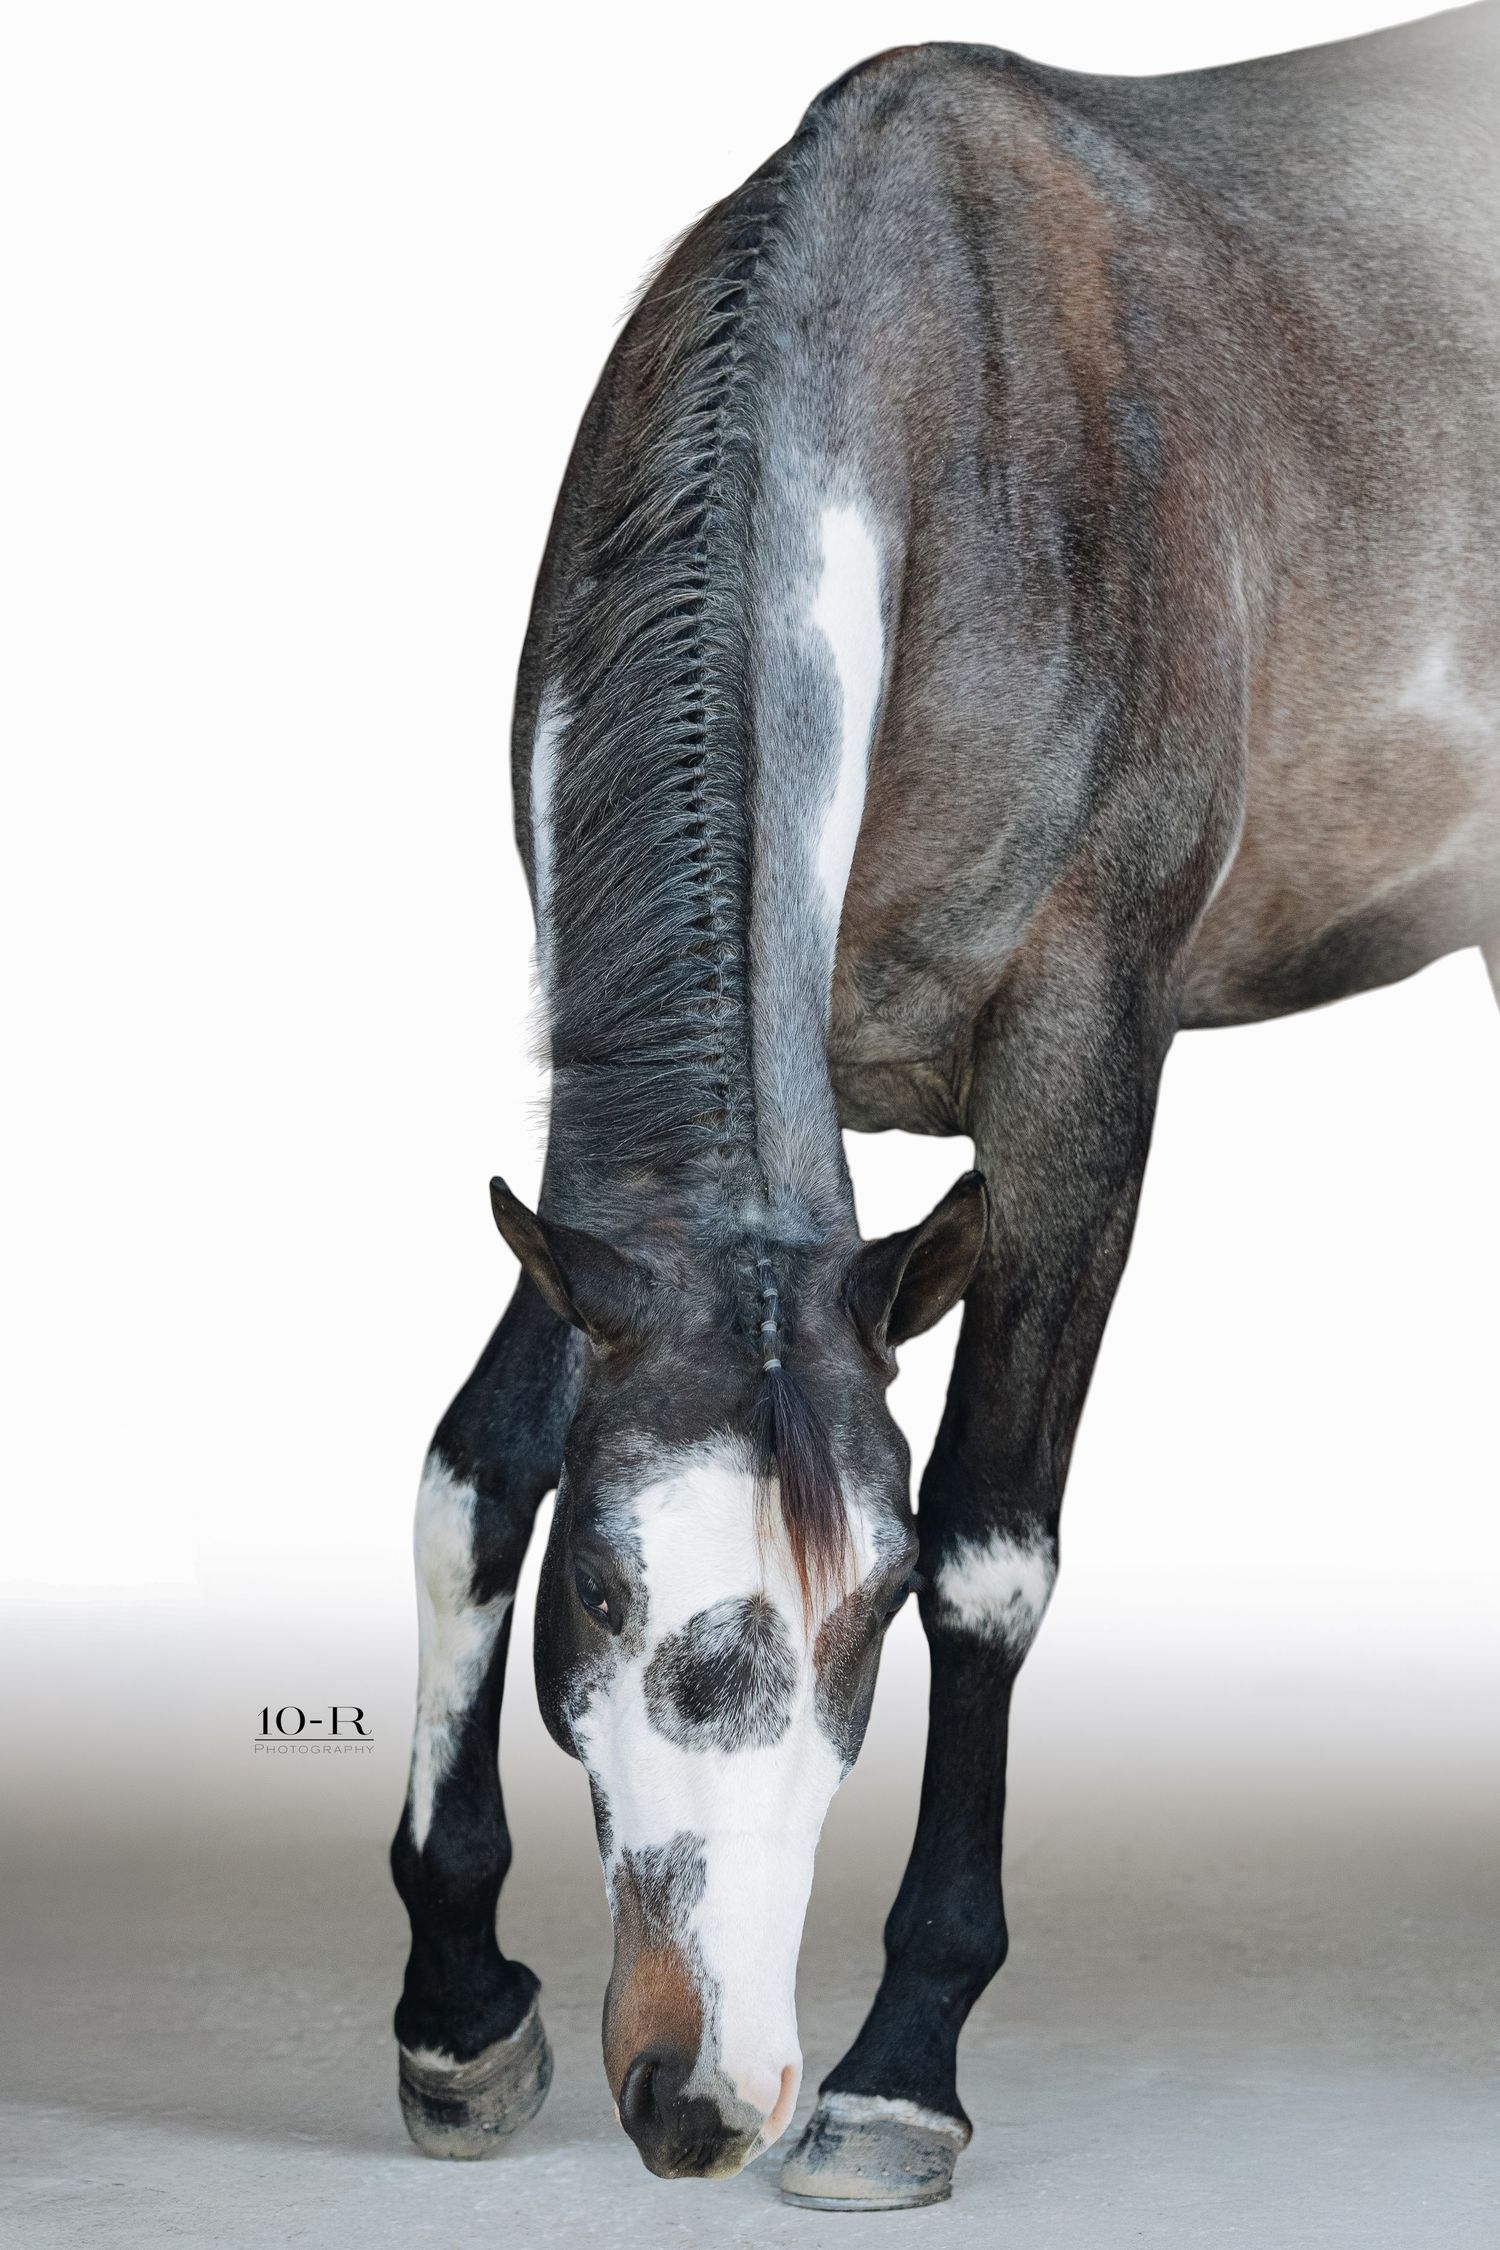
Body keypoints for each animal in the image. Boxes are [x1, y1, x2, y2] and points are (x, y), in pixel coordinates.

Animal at [391, 5, 1500, 2209]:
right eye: (605, 1589)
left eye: (873, 1613)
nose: (701, 2094)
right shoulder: (657, 1212)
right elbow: (477, 1467)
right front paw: (456, 2008)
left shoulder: (1080, 1070)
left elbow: (1006, 1539)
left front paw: (901, 2069)